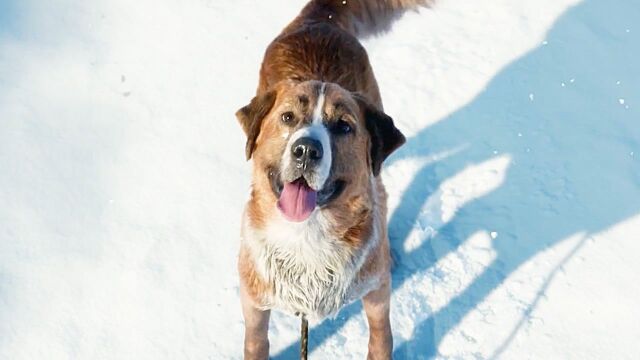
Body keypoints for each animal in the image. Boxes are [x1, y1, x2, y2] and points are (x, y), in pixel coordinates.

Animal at [232, 0, 422, 358]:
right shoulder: (254, 300)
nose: (306, 150)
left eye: (343, 126)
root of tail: (321, 18)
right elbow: (256, 340)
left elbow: (381, 335)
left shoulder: (376, 292)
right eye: (287, 117)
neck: (307, 234)